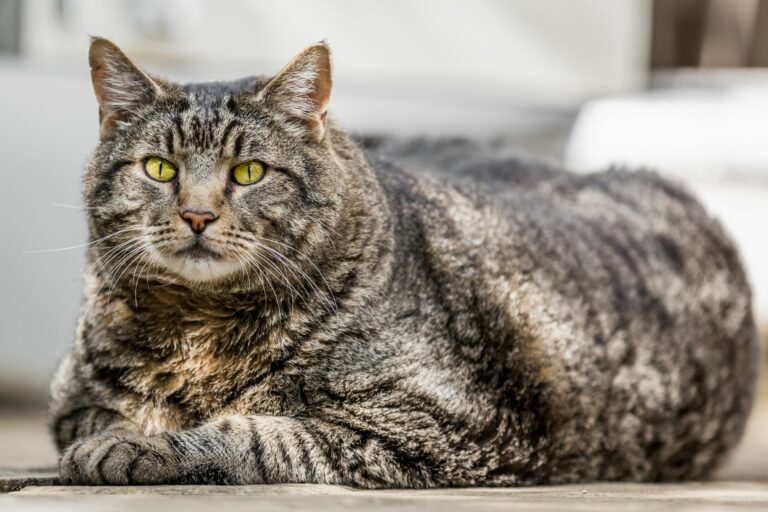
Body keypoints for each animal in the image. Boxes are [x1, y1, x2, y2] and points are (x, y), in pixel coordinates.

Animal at [51, 37, 760, 488]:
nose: (198, 215)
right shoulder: (74, 396)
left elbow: (253, 433)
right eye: (159, 168)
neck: (198, 332)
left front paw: (140, 446)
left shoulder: (438, 423)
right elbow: (101, 412)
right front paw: (123, 431)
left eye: (249, 172)